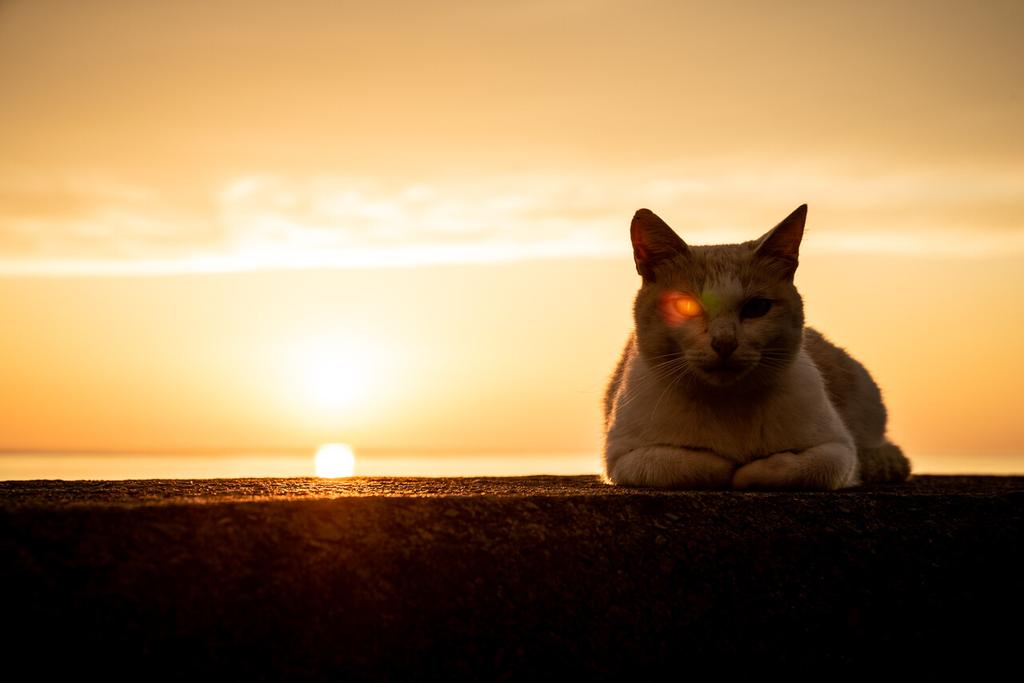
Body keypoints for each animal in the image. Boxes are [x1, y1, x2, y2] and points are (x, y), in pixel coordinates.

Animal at [602, 205, 909, 489]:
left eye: (757, 307)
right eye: (686, 306)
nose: (724, 342)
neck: (728, 404)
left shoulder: (839, 449)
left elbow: (803, 468)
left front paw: (749, 471)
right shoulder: (622, 458)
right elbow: (685, 464)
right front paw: (725, 465)